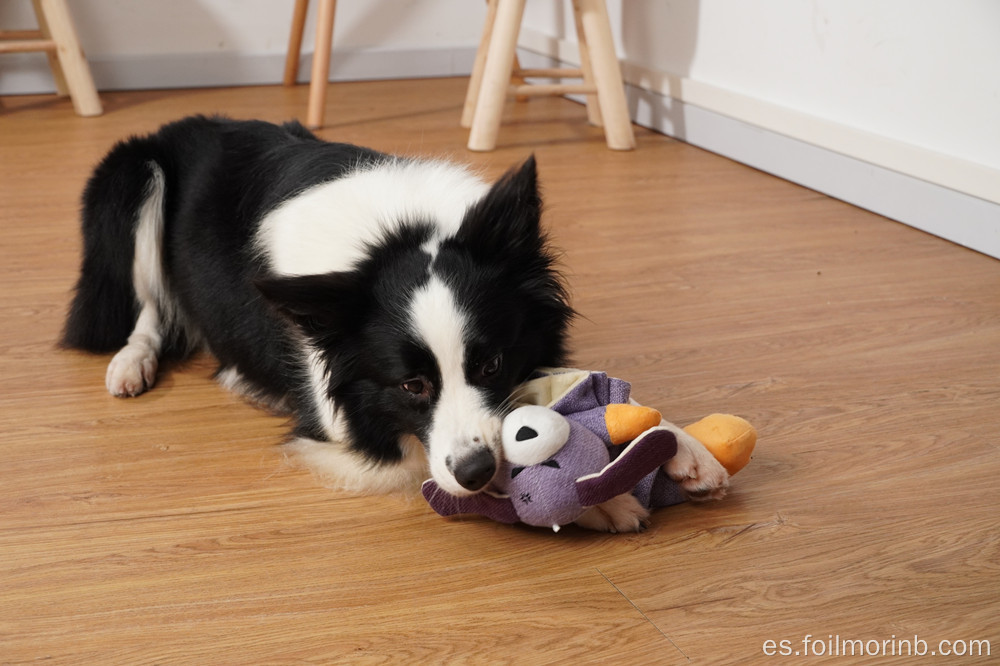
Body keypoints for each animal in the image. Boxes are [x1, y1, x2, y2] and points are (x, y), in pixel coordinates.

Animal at [64, 115, 728, 528]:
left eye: (492, 363)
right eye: (411, 385)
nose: (476, 469)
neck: (395, 238)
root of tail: (180, 124)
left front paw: (681, 444)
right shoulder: (353, 435)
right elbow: (438, 466)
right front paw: (597, 503)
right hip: (132, 180)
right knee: (149, 306)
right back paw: (133, 363)